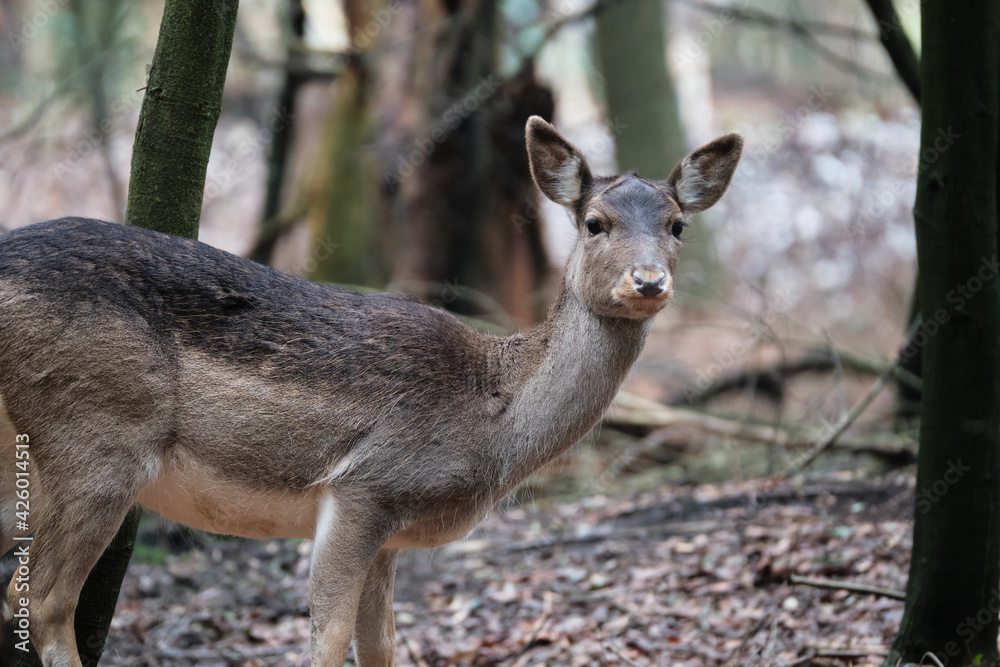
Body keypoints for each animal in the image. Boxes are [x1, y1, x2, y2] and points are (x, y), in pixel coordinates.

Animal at [1, 117, 744, 664]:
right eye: (595, 222)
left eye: (677, 224)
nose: (648, 281)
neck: (491, 419)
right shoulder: (366, 483)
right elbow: (328, 641)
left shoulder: (391, 532)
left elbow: (382, 645)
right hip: (97, 434)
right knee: (42, 597)